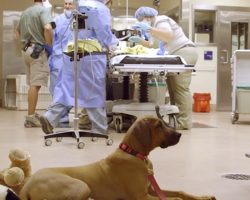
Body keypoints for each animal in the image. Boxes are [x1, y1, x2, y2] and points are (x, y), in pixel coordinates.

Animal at [19, 116, 216, 200]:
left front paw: (203, 197)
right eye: (159, 126)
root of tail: (26, 185)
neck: (134, 154)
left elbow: (180, 192)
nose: (179, 135)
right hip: (81, 185)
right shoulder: (141, 197)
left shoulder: (150, 190)